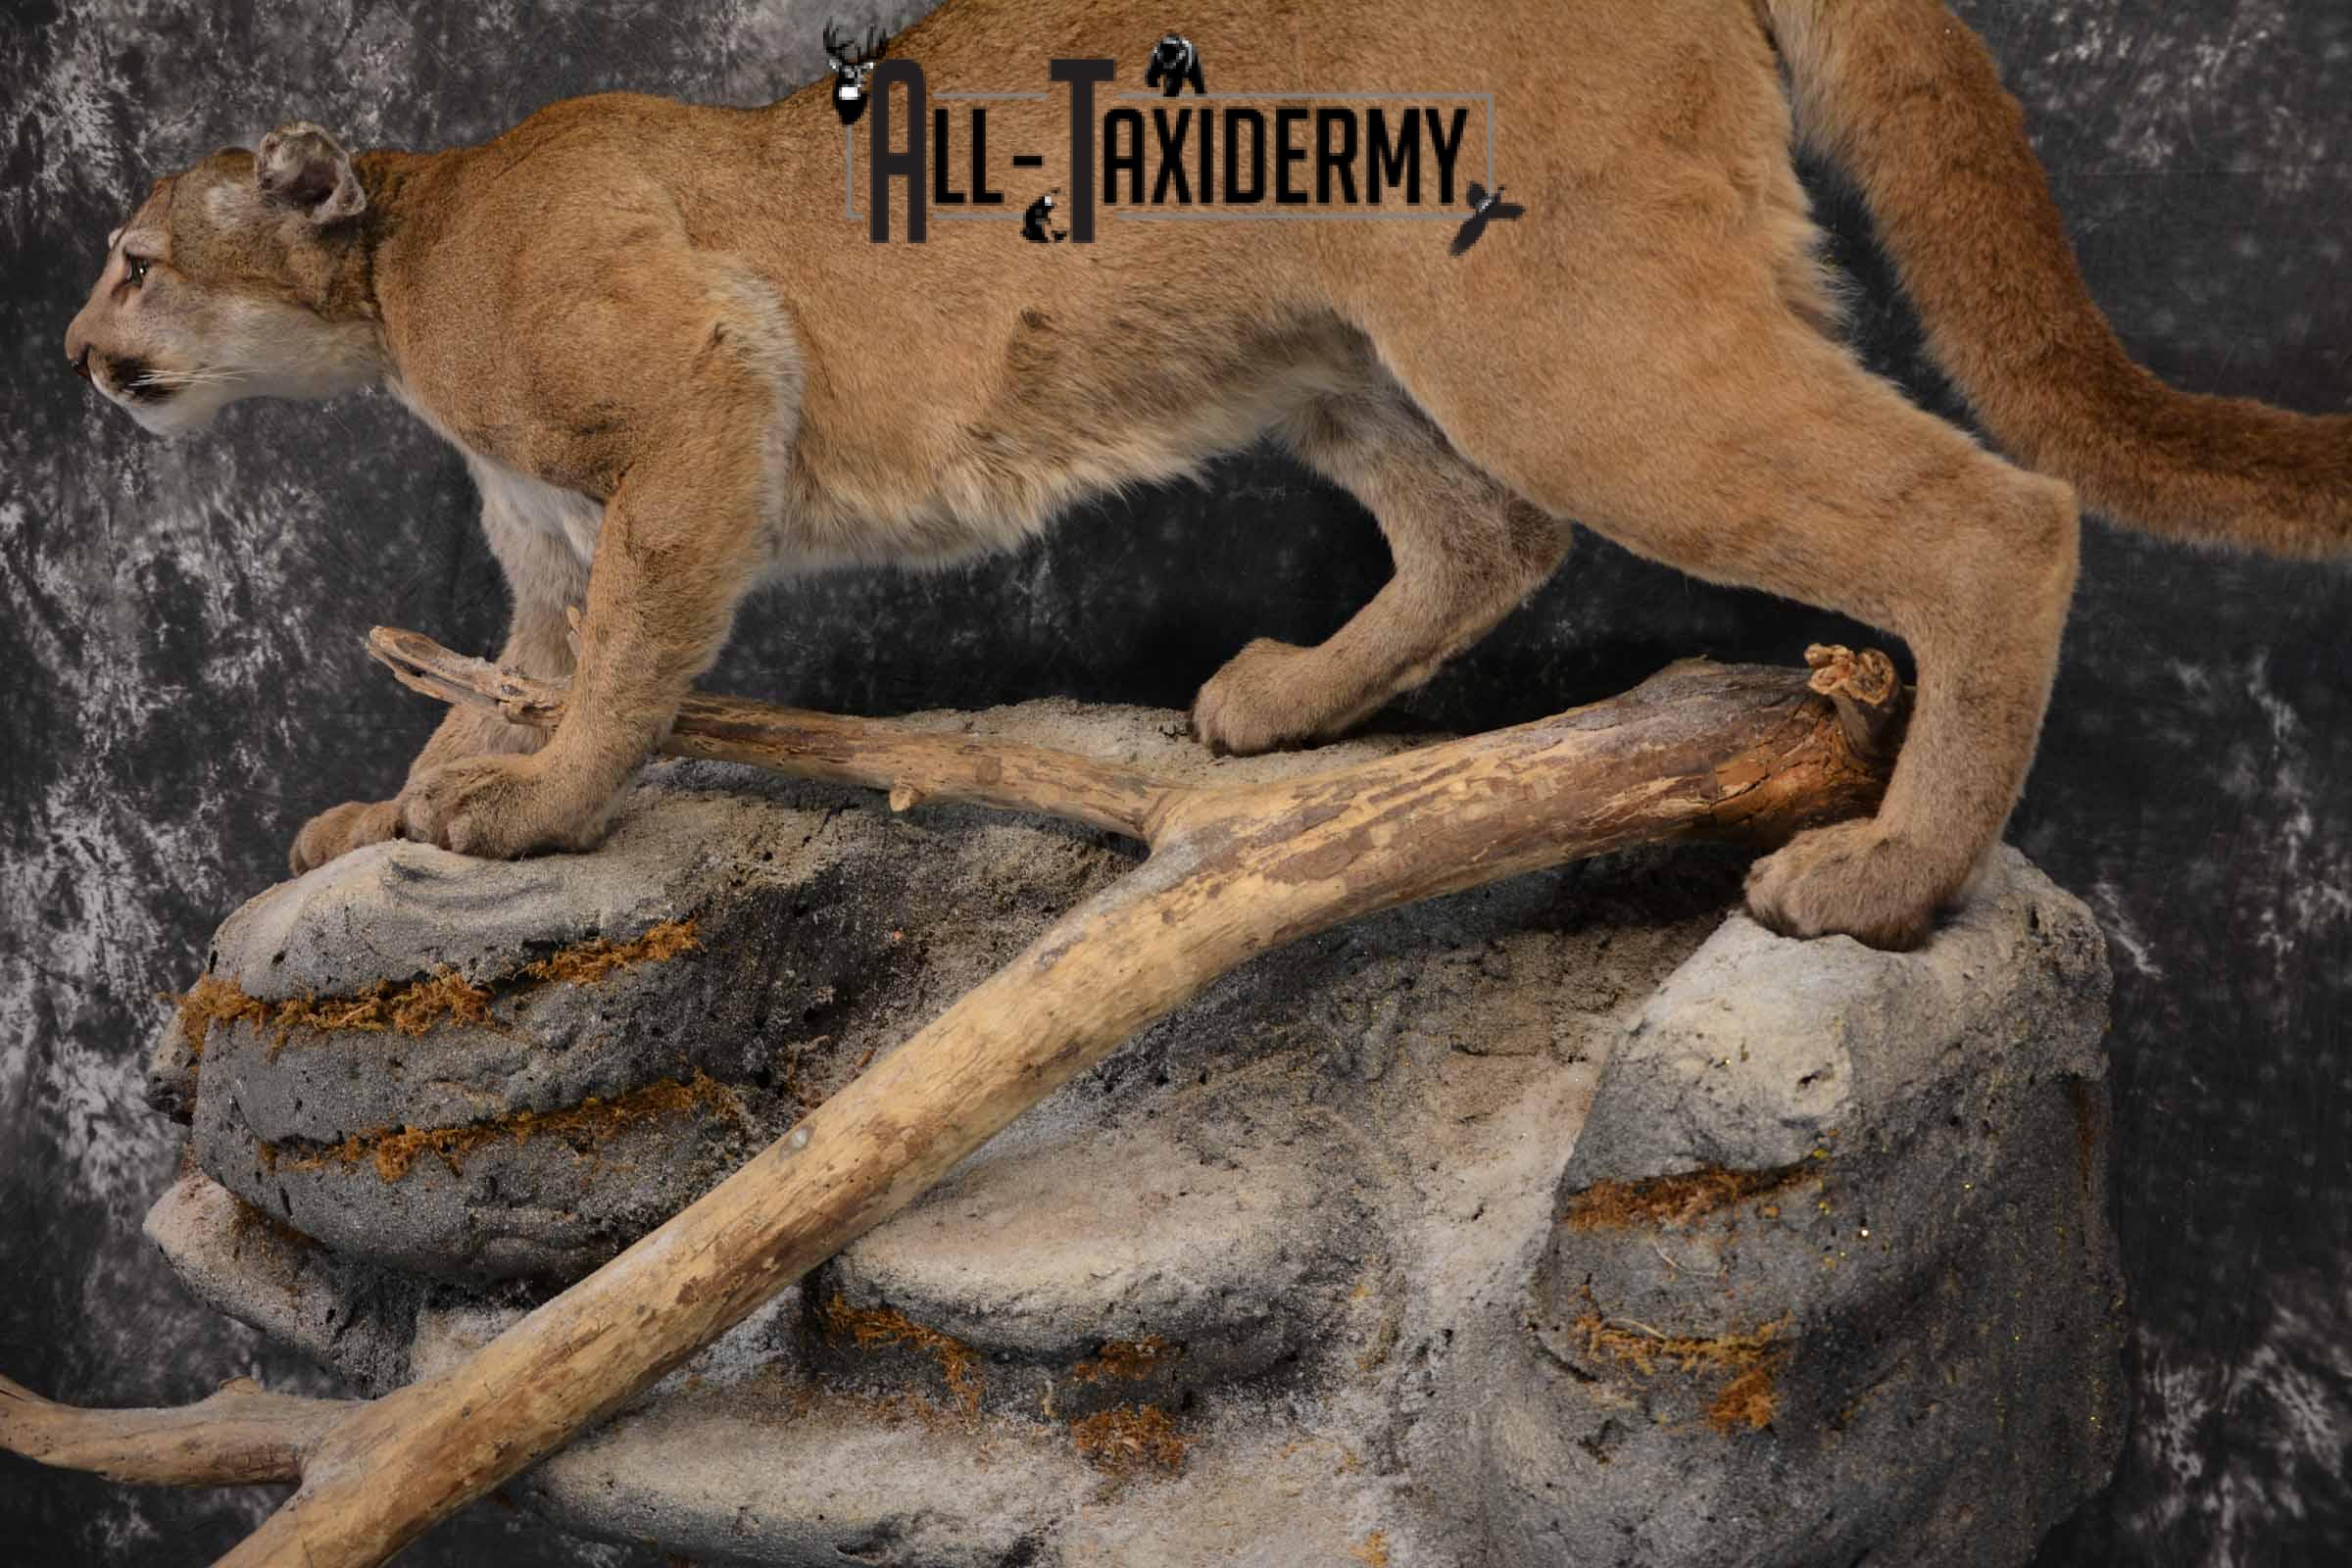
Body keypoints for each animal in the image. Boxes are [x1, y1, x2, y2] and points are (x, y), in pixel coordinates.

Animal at [62, 0, 2349, 951]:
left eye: (134, 256)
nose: (77, 358)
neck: (400, 266)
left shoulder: (710, 390)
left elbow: (622, 661)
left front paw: (529, 816)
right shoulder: (543, 526)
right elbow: (512, 661)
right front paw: (397, 805)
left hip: (1565, 340)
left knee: (1996, 514)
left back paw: (1888, 879)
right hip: (1328, 344)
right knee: (1486, 526)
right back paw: (1275, 709)